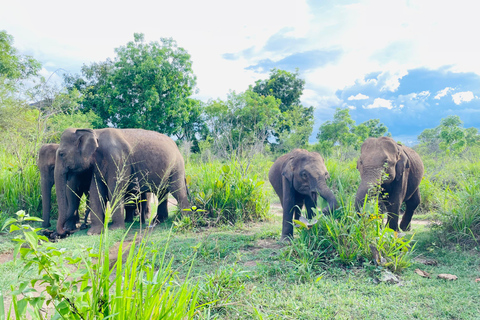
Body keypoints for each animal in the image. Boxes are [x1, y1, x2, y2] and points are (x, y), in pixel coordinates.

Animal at [54, 127, 189, 235]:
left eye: (61, 154)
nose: (65, 231)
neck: (95, 132)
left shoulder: (118, 159)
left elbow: (114, 190)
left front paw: (114, 229)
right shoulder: (97, 166)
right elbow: (96, 192)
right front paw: (93, 233)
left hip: (176, 167)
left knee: (178, 191)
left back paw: (184, 219)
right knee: (162, 193)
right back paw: (159, 220)